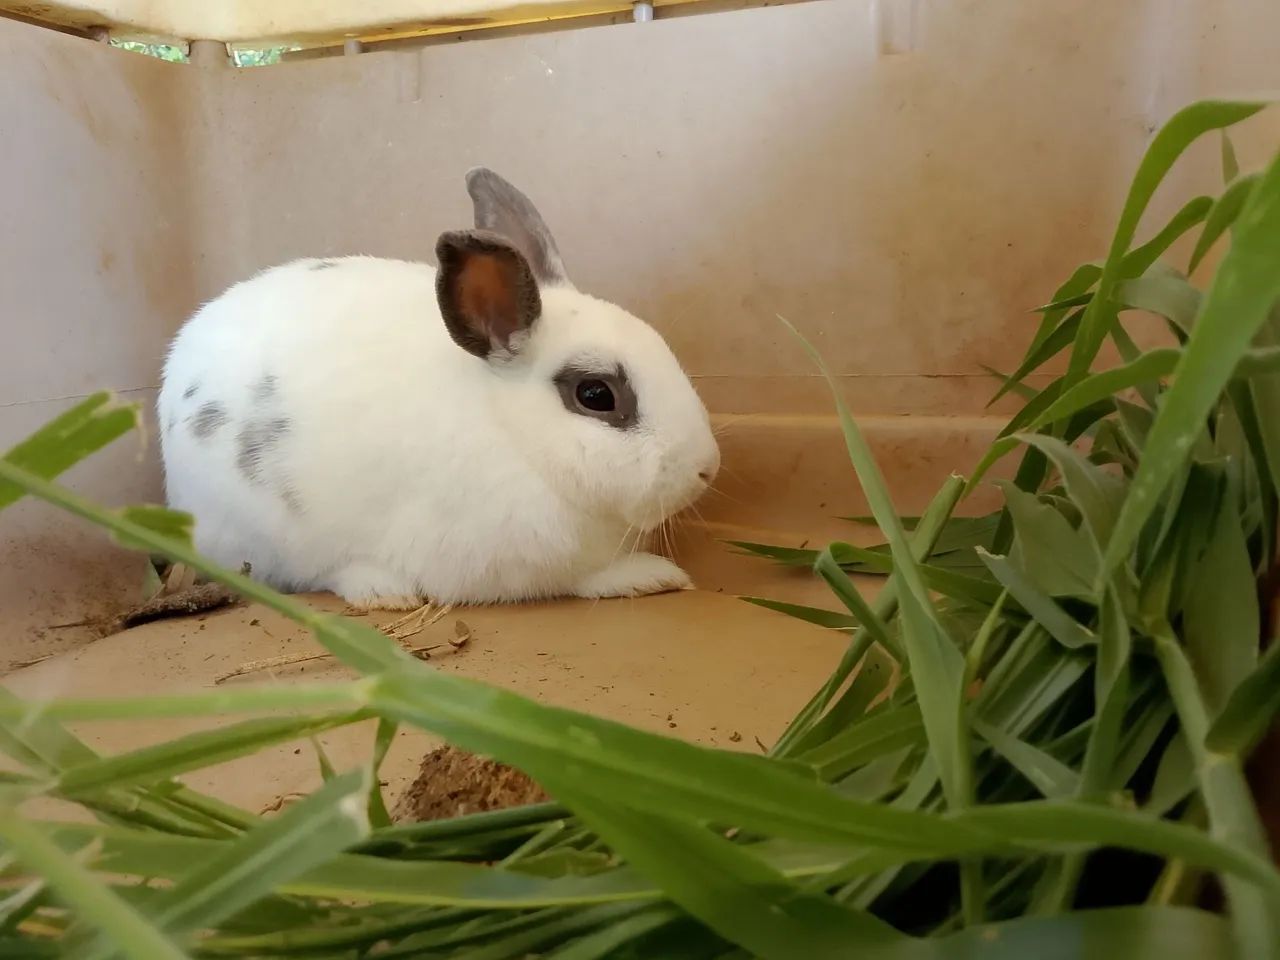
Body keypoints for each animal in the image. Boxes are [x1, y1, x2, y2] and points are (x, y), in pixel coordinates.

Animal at [156, 168, 720, 610]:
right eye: (596, 395)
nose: (707, 469)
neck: (512, 432)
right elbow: (584, 578)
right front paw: (651, 574)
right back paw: (383, 590)